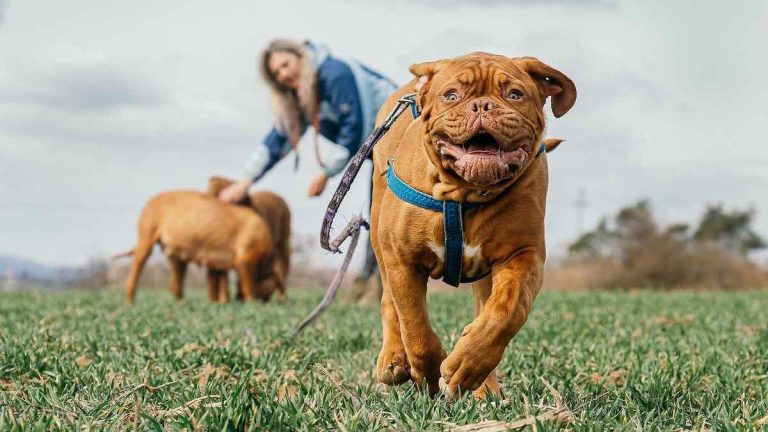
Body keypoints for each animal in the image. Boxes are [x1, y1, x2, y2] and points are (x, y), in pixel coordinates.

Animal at [121, 189, 274, 304]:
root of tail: (150, 201)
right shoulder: (246, 260)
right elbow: (249, 286)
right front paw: (251, 304)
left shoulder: (220, 264)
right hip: (147, 236)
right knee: (135, 271)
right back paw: (130, 303)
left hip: (176, 256)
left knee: (176, 284)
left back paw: (180, 304)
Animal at [370, 53, 576, 398]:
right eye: (451, 95)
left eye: (514, 94)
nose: (482, 106)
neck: (463, 194)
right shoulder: (402, 260)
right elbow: (414, 326)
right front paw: (428, 375)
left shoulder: (523, 255)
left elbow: (506, 311)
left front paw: (467, 365)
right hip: (378, 236)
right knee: (389, 303)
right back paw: (394, 359)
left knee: (484, 309)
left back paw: (483, 386)